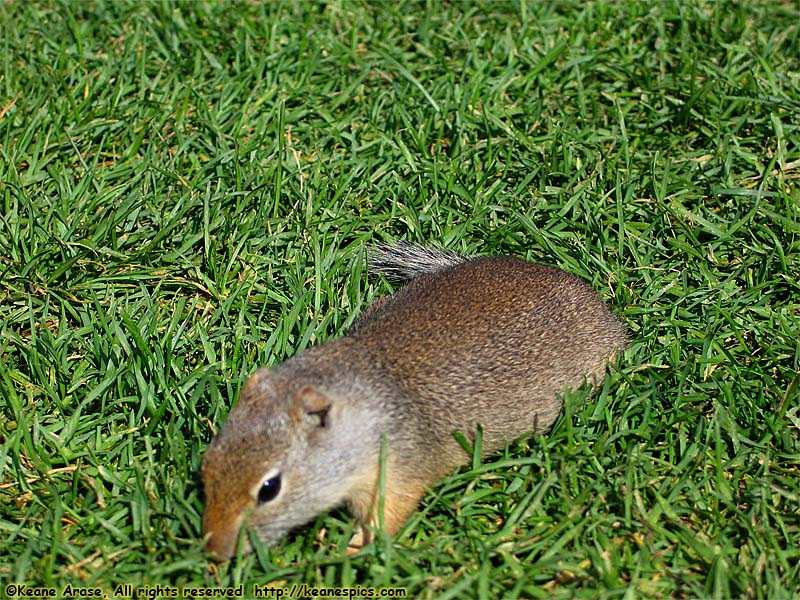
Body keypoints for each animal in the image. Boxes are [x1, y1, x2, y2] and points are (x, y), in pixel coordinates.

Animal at [200, 241, 624, 560]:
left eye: (269, 488)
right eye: (207, 462)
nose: (215, 552)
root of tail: (601, 308)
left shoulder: (399, 471)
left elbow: (387, 515)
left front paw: (352, 550)